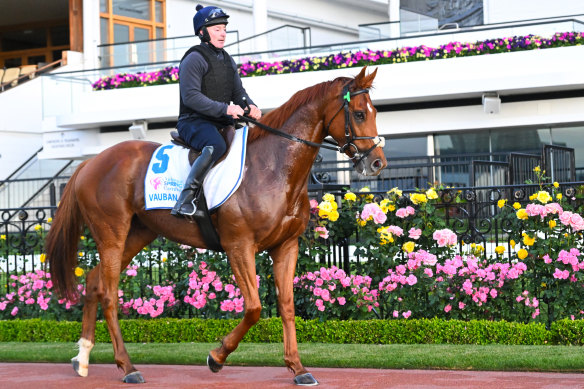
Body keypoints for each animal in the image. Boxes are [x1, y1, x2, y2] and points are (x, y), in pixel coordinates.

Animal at [44, 65, 384, 384]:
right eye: (358, 113)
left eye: (375, 112)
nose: (377, 162)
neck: (273, 167)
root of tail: (90, 162)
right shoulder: (239, 246)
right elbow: (254, 308)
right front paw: (217, 356)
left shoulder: (286, 246)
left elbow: (287, 306)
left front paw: (297, 367)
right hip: (112, 234)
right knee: (109, 294)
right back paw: (127, 366)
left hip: (138, 234)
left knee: (93, 282)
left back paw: (83, 358)